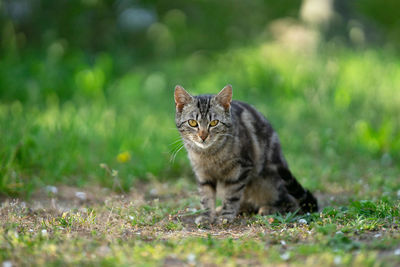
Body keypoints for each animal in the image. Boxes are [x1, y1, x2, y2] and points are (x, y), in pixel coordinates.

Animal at [173, 85, 318, 225]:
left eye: (214, 123)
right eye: (192, 122)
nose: (203, 136)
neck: (208, 154)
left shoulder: (240, 170)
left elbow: (232, 196)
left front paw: (226, 216)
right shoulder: (203, 175)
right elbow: (206, 197)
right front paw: (206, 216)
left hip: (270, 181)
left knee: (290, 203)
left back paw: (268, 209)